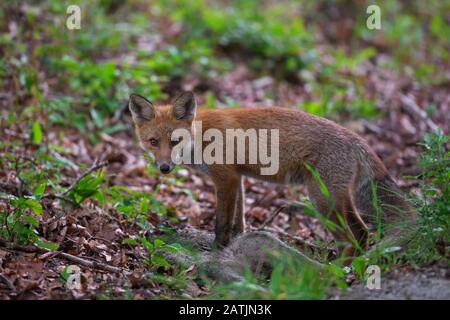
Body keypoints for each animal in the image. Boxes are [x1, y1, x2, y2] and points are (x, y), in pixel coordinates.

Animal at [128, 91, 414, 254]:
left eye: (175, 141)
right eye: (154, 142)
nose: (164, 168)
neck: (201, 136)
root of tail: (357, 139)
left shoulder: (225, 179)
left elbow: (222, 222)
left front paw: (217, 249)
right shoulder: (237, 178)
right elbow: (239, 220)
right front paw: (236, 243)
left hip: (321, 200)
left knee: (348, 240)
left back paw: (332, 274)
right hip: (339, 199)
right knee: (363, 232)